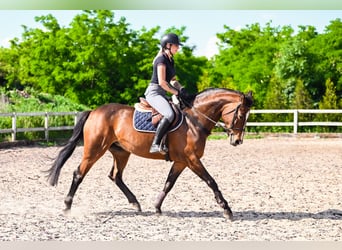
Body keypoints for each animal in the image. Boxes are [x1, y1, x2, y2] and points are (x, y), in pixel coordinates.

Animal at [46, 88, 252, 221]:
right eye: (241, 115)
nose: (237, 141)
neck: (195, 120)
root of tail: (94, 111)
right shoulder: (192, 159)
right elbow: (211, 181)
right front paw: (227, 209)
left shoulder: (182, 161)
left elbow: (169, 183)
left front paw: (157, 207)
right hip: (94, 150)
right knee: (79, 174)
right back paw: (67, 206)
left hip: (121, 152)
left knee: (116, 176)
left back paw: (135, 204)